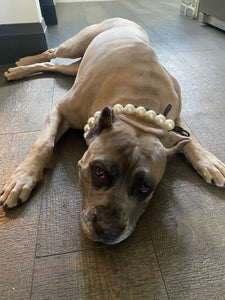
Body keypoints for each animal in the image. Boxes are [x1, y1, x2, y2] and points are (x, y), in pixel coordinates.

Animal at [1, 18, 225, 244]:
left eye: (145, 188)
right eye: (99, 172)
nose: (107, 230)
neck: (139, 116)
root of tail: (125, 19)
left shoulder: (173, 121)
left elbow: (192, 138)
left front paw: (209, 161)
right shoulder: (60, 110)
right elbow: (44, 144)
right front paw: (22, 179)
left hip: (75, 66)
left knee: (54, 66)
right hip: (75, 46)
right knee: (52, 52)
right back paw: (21, 65)